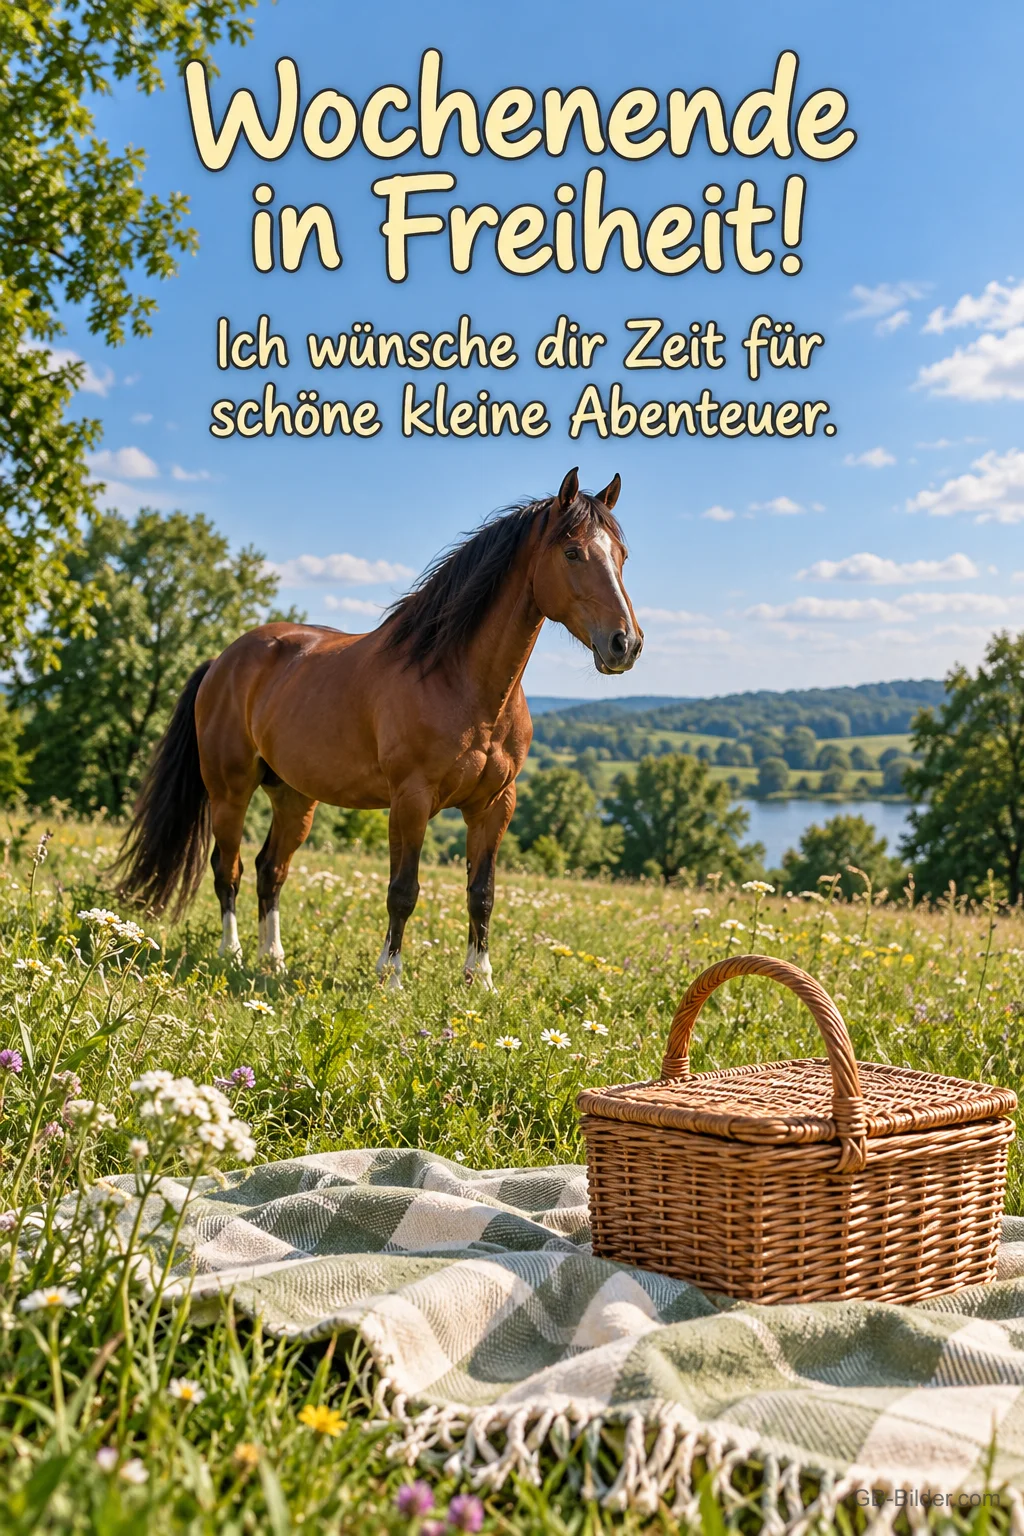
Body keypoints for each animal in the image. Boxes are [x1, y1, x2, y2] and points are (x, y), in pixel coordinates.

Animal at [114, 468, 642, 987]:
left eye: (621, 556)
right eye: (573, 552)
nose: (626, 644)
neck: (458, 680)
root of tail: (222, 661)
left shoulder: (495, 805)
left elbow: (482, 892)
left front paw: (481, 979)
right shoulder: (411, 800)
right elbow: (403, 890)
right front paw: (390, 977)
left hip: (293, 796)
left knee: (271, 869)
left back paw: (273, 959)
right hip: (230, 791)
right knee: (229, 869)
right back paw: (234, 953)